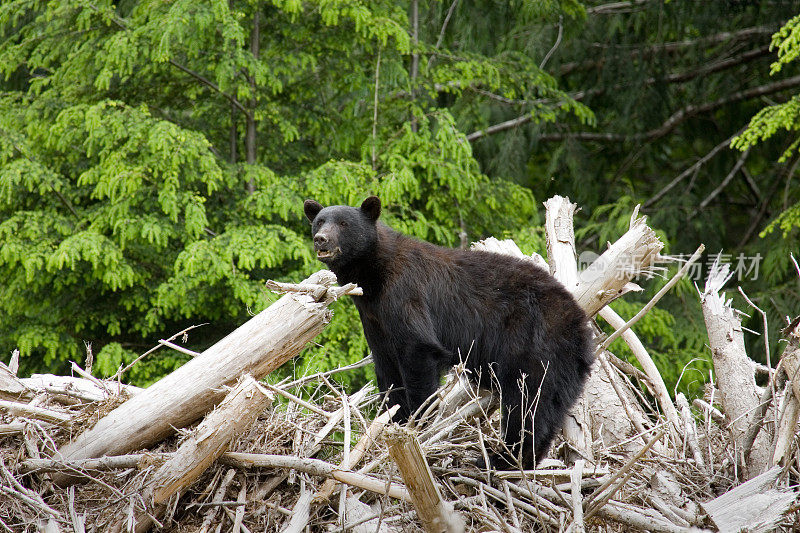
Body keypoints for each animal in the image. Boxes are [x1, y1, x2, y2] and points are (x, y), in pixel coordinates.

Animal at [304, 195, 592, 466]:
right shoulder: (376, 322)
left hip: (535, 343)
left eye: (344, 223)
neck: (375, 276)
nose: (321, 239)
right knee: (548, 406)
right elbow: (388, 372)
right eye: (319, 221)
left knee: (528, 402)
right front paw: (393, 422)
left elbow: (418, 353)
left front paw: (418, 425)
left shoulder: (405, 296)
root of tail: (580, 324)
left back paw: (502, 459)